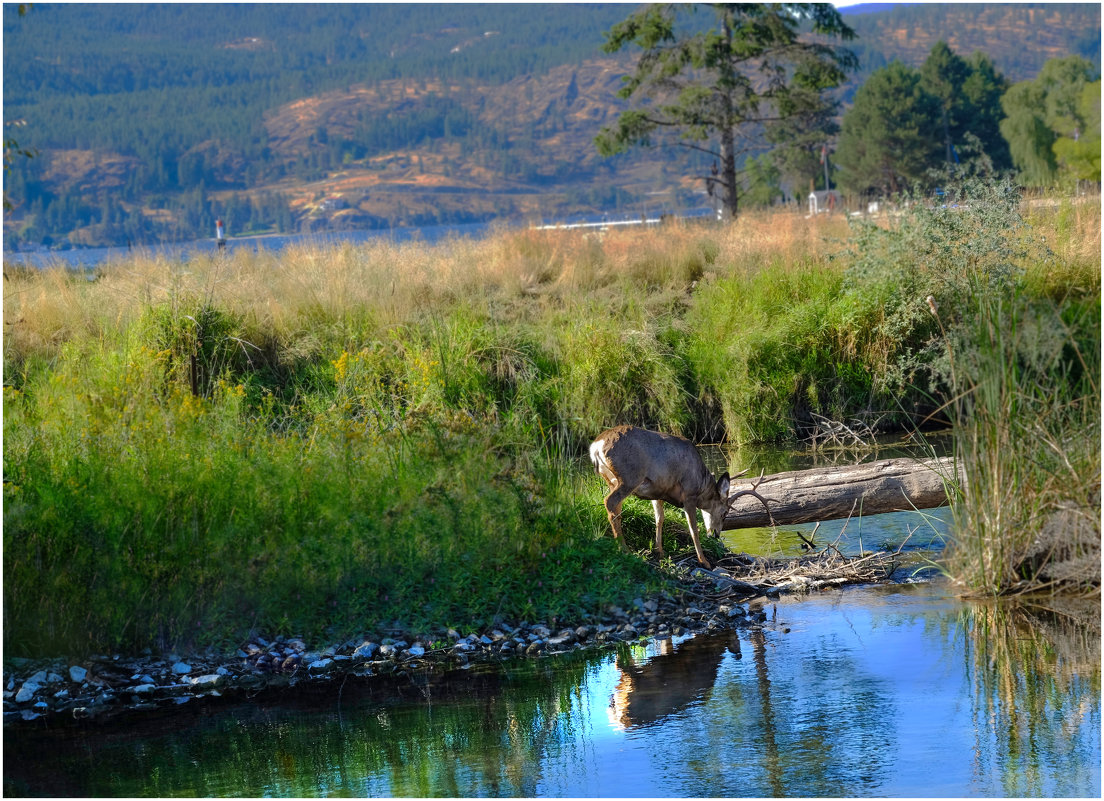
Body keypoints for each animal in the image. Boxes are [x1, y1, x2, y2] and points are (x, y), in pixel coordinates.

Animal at [591, 425, 772, 569]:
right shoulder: (688, 494)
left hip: (611, 480)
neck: (701, 483)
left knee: (615, 507)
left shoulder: (658, 492)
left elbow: (659, 519)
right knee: (609, 502)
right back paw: (624, 549)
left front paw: (660, 551)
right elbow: (694, 529)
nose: (716, 534)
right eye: (725, 513)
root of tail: (596, 446)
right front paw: (704, 561)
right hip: (629, 476)